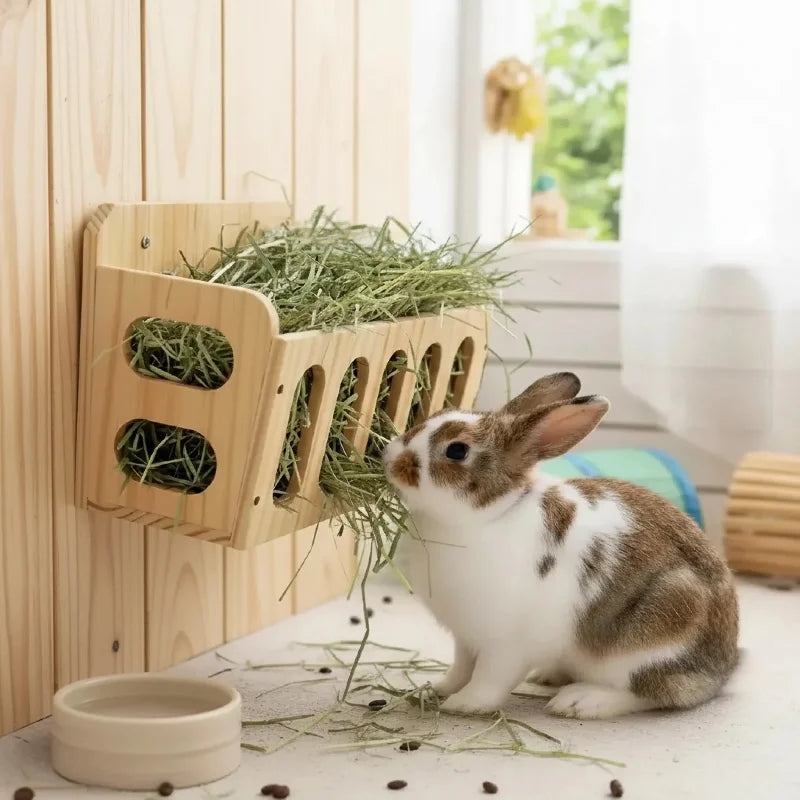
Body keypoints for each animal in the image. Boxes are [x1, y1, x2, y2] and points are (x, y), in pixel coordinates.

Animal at [382, 371, 739, 719]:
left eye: (457, 450)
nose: (390, 457)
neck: (490, 515)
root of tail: (719, 673)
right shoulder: (466, 637)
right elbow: (461, 668)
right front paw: (439, 688)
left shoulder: (507, 644)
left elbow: (490, 678)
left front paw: (465, 704)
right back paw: (550, 677)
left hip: (656, 633)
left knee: (650, 692)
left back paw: (579, 701)